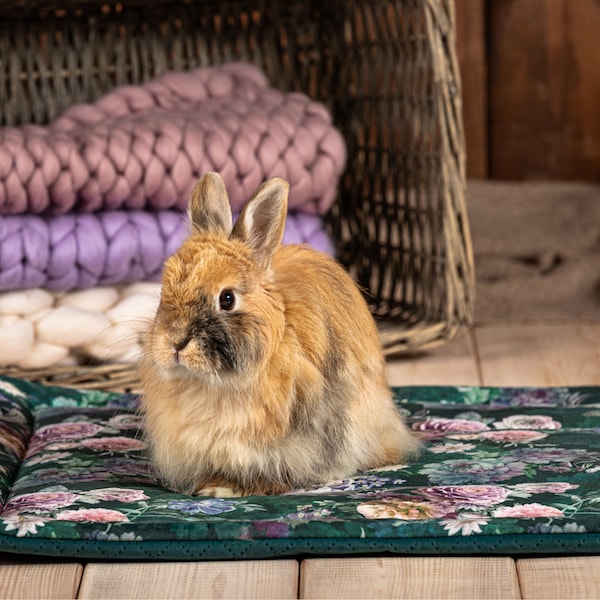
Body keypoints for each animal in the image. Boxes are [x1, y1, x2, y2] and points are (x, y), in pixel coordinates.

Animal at [138, 170, 420, 496]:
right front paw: (210, 484)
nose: (175, 342)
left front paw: (224, 489)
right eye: (164, 292)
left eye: (227, 299)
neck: (216, 383)